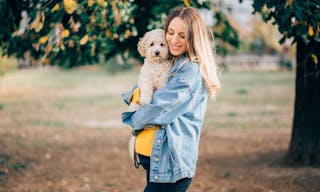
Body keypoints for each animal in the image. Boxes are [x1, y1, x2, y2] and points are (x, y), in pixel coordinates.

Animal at [127, 28, 172, 168]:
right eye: (151, 44)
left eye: (162, 44)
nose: (157, 52)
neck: (156, 64)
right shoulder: (146, 77)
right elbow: (146, 89)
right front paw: (146, 100)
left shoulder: (164, 77)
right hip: (134, 107)